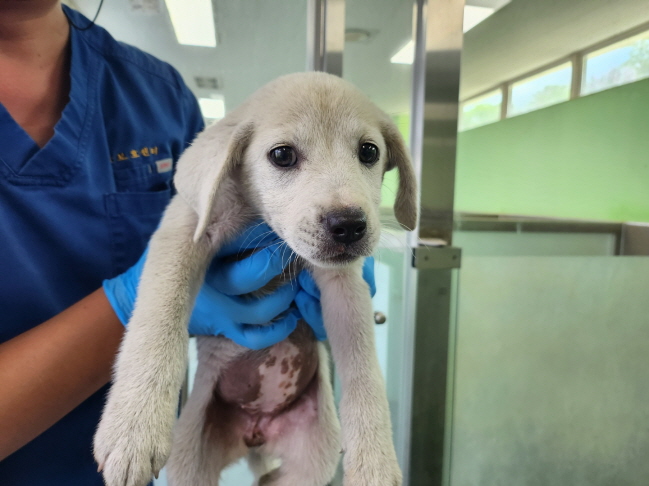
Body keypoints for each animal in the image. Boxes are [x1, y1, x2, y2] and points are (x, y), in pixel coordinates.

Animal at [93, 69, 418, 486]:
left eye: (369, 152)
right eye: (282, 155)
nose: (348, 225)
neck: (262, 224)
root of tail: (256, 433)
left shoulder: (344, 285)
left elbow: (364, 368)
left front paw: (375, 460)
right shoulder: (183, 230)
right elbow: (158, 317)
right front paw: (133, 426)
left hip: (313, 458)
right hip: (191, 461)